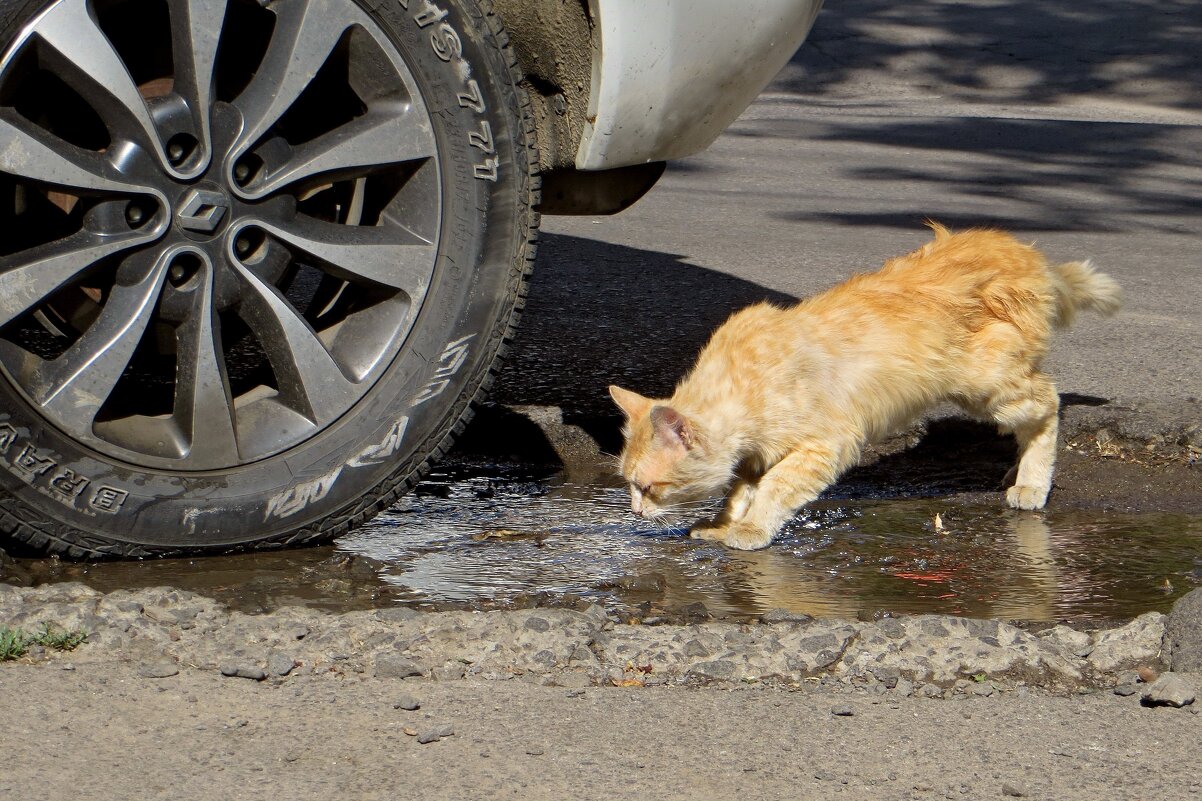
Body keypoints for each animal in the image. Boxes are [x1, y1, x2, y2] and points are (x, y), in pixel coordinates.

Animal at [615, 224, 1120, 548]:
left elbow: (775, 488)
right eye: (629, 485)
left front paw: (749, 532)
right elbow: (740, 490)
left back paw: (1032, 483)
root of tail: (1027, 255)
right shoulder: (756, 456)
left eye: (648, 487)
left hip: (989, 387)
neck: (741, 383)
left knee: (1049, 401)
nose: (634, 512)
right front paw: (723, 525)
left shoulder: (827, 444)